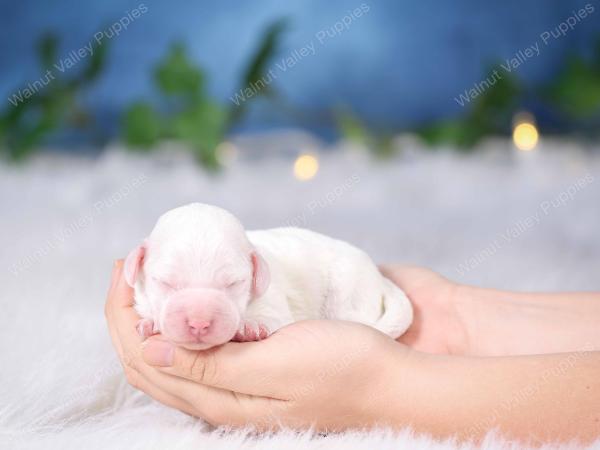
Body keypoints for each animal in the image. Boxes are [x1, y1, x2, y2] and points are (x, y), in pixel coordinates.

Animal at [123, 202, 410, 350]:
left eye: (233, 283)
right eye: (165, 282)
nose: (199, 323)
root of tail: (379, 277)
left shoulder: (273, 301)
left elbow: (272, 317)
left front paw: (250, 327)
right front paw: (151, 322)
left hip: (350, 293)